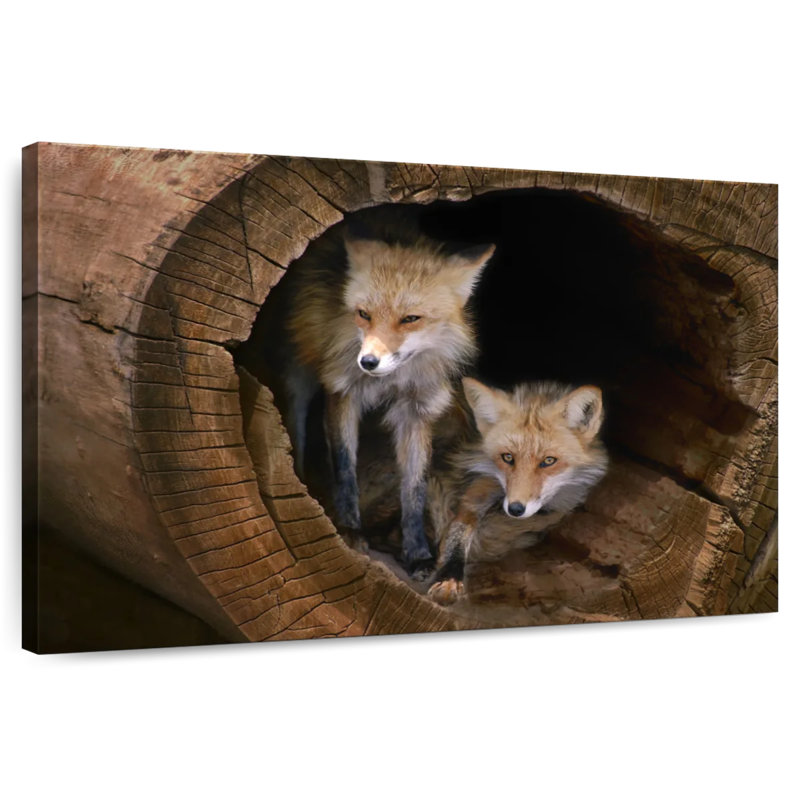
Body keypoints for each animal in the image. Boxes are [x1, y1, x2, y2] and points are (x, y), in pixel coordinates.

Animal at [281, 214, 495, 577]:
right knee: (294, 427)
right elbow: (344, 466)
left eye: (410, 319)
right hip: (300, 376)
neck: (390, 381)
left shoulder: (417, 411)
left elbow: (415, 487)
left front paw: (418, 553)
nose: (368, 362)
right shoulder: (341, 392)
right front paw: (349, 530)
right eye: (364, 314)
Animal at [427, 377, 609, 605]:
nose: (515, 509)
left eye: (548, 461)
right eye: (507, 457)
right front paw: (449, 579)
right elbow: (458, 535)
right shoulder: (478, 491)